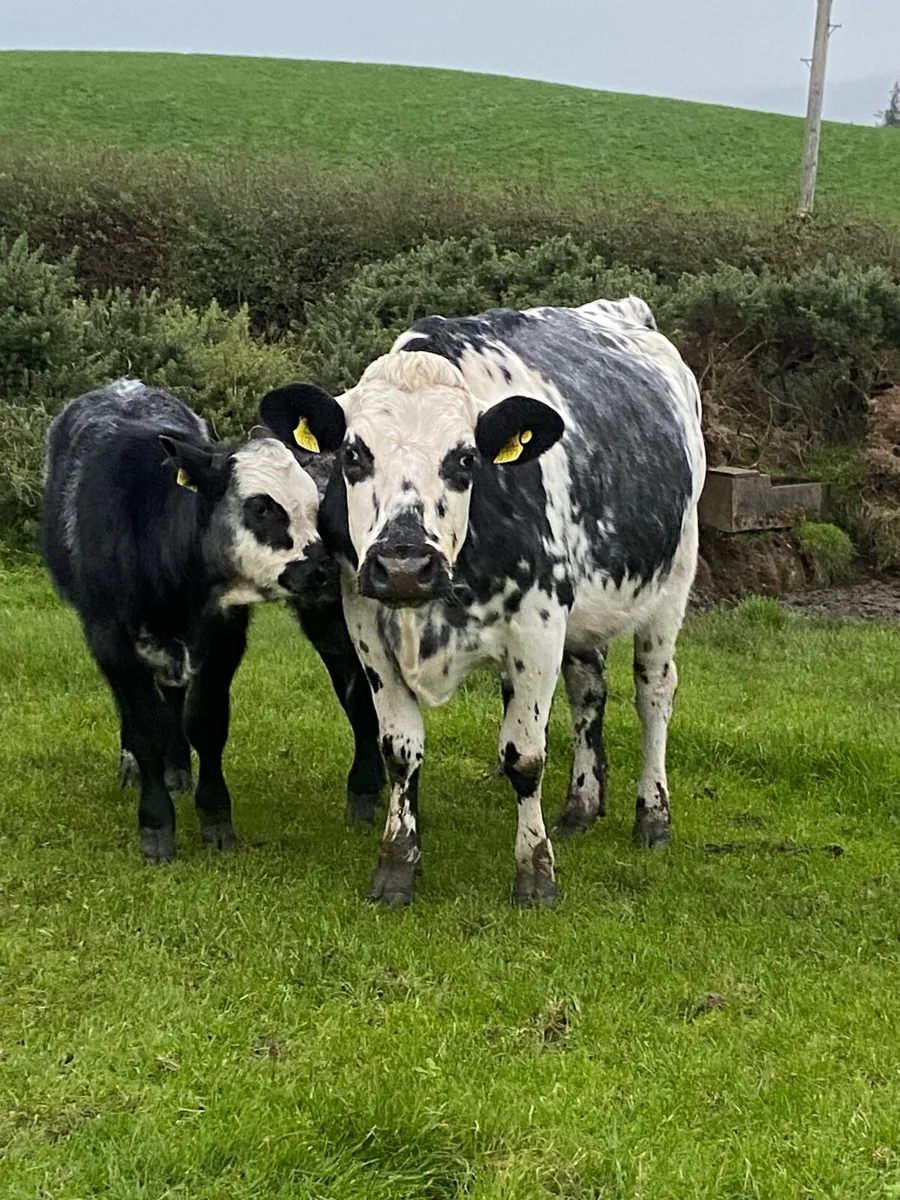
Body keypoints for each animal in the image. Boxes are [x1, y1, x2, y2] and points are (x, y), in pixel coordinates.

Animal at [41, 379, 381, 863]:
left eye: (313, 506)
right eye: (262, 508)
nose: (325, 571)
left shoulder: (223, 634)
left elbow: (205, 721)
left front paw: (216, 816)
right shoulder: (108, 636)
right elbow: (144, 727)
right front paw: (156, 823)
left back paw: (178, 768)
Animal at [260, 297, 705, 908]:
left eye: (466, 458)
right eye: (353, 454)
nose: (404, 564)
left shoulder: (539, 625)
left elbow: (525, 756)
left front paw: (536, 874)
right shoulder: (366, 626)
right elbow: (399, 749)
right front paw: (396, 866)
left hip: (672, 582)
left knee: (654, 692)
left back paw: (653, 817)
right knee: (589, 689)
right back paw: (581, 805)